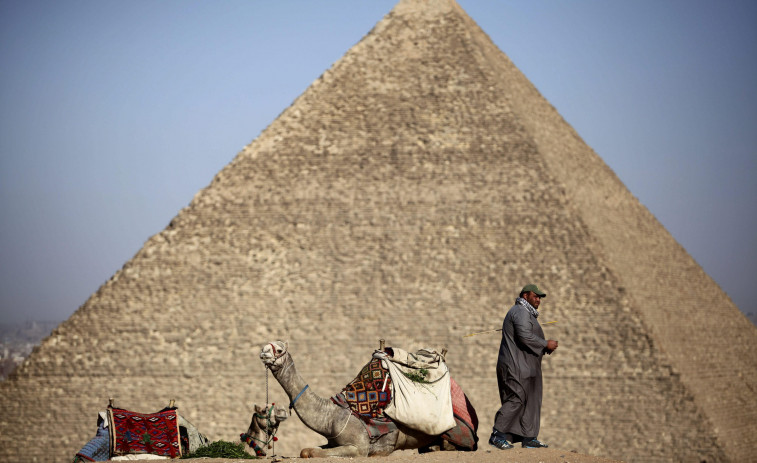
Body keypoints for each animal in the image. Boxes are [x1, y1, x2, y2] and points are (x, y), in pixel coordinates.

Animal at [258, 338, 460, 458]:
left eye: (279, 349)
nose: (263, 352)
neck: (330, 416)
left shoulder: (359, 447)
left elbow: (312, 453)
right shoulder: (331, 441)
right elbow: (306, 450)